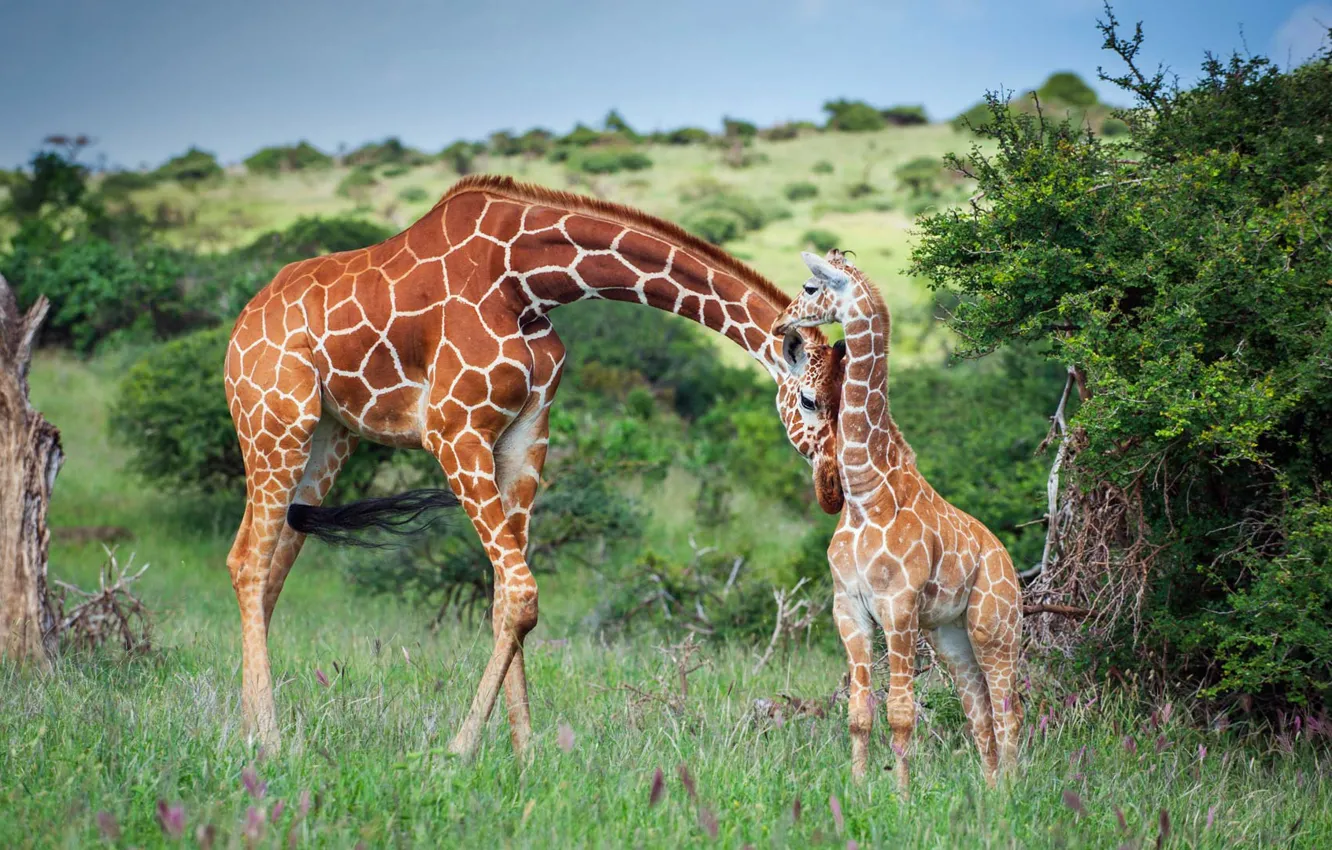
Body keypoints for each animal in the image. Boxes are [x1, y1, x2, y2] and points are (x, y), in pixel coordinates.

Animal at [224, 175, 833, 757]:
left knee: (267, 565)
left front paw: (526, 755)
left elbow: (504, 600)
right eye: (809, 401)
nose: (831, 488)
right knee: (249, 562)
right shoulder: (454, 430)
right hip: (274, 422)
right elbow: (521, 593)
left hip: (330, 437)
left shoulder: (526, 432)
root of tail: (241, 323)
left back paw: (248, 728)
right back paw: (270, 740)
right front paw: (459, 750)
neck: (528, 282)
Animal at [772, 249, 1023, 793]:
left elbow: (902, 712)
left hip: (995, 627)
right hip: (951, 635)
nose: (782, 323)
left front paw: (902, 796)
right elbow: (859, 712)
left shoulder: (900, 608)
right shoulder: (849, 608)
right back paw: (991, 793)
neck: (868, 492)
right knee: (980, 715)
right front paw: (859, 787)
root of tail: (1009, 562)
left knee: (1009, 712)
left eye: (809, 286)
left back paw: (1013, 793)